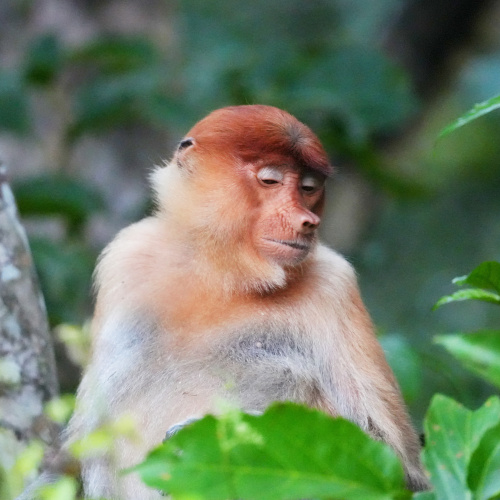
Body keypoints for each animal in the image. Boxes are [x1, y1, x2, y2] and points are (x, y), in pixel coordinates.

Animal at [67, 104, 430, 496]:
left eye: (308, 188)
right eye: (270, 180)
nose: (307, 221)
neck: (222, 272)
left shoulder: (336, 284)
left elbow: (400, 467)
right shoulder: (126, 255)